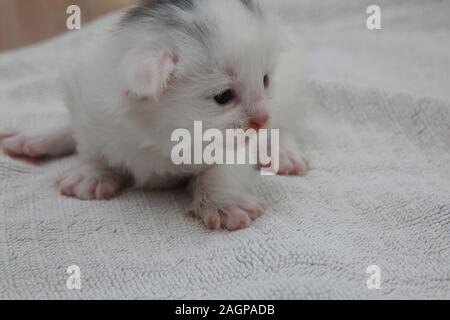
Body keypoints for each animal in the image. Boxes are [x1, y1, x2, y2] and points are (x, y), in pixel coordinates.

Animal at [0, 0, 308, 230]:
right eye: (223, 96)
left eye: (265, 80)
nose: (262, 119)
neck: (165, 135)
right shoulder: (89, 97)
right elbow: (91, 144)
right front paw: (93, 172)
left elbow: (225, 165)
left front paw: (221, 201)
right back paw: (38, 138)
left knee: (284, 123)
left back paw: (282, 152)